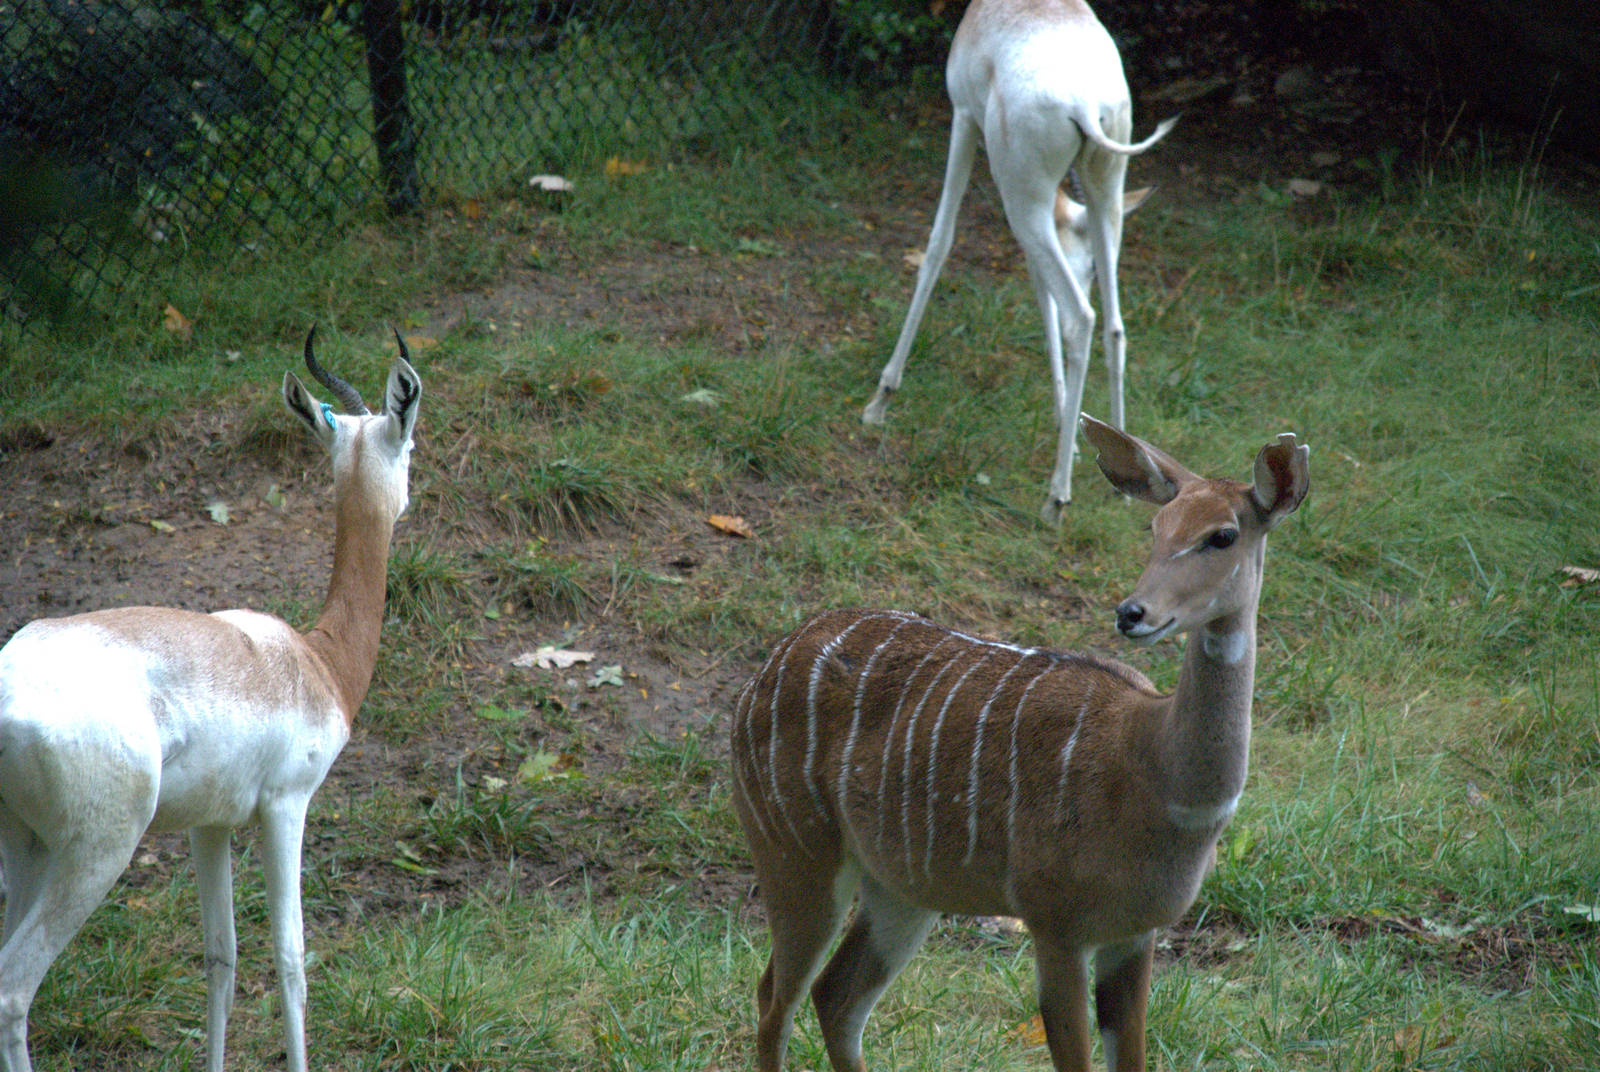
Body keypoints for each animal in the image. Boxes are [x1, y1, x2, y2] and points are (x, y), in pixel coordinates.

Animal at [0, 328, 421, 1072]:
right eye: (413, 441)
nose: (414, 498)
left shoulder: (210, 825)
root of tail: (10, 686)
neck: (314, 661)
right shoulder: (285, 807)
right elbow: (291, 959)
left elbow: (220, 957)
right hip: (94, 853)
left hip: (24, 844)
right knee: (15, 992)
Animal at [731, 414, 1309, 1072]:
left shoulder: (1136, 933)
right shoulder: (1053, 919)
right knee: (775, 997)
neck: (1155, 776)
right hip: (795, 851)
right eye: (1155, 526)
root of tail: (761, 673)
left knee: (835, 996)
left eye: (1223, 535)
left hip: (901, 887)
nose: (1132, 612)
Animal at [863, 0, 1176, 525]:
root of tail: (1085, 104)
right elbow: (1040, 293)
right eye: (1087, 267)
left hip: (1022, 195)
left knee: (1081, 317)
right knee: (1112, 325)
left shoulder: (962, 117)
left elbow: (939, 242)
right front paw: (1069, 429)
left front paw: (881, 399)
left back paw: (1056, 498)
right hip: (1104, 191)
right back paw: (1124, 481)